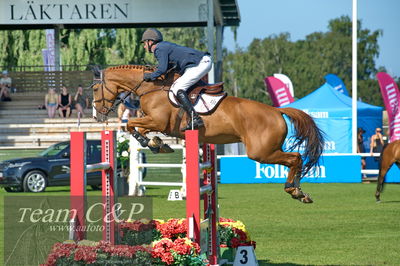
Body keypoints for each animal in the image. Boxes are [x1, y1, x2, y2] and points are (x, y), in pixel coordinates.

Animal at [90, 65, 324, 204]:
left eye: (93, 89)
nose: (97, 115)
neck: (150, 87)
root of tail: (277, 111)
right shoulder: (156, 123)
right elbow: (137, 128)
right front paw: (156, 143)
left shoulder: (158, 121)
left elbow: (131, 125)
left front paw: (152, 143)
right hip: (267, 150)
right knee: (297, 159)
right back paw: (299, 191)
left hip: (261, 152)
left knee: (295, 158)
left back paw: (294, 190)